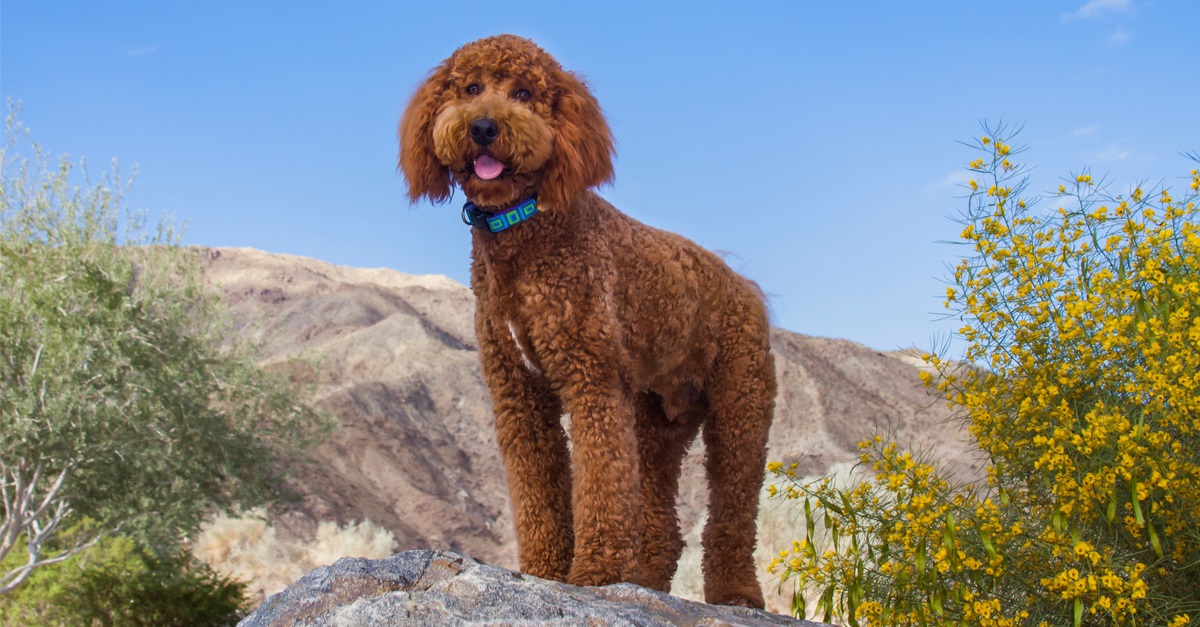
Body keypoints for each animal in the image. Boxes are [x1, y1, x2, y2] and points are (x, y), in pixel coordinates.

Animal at [398, 34, 777, 605]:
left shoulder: (591, 379)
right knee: (661, 522)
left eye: (525, 92)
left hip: (741, 408)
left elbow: (600, 484)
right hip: (657, 422)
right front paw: (543, 570)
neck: (524, 230)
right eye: (470, 88)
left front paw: (595, 574)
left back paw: (735, 593)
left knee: (733, 511)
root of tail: (746, 288)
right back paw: (643, 583)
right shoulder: (518, 393)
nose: (483, 127)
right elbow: (537, 489)